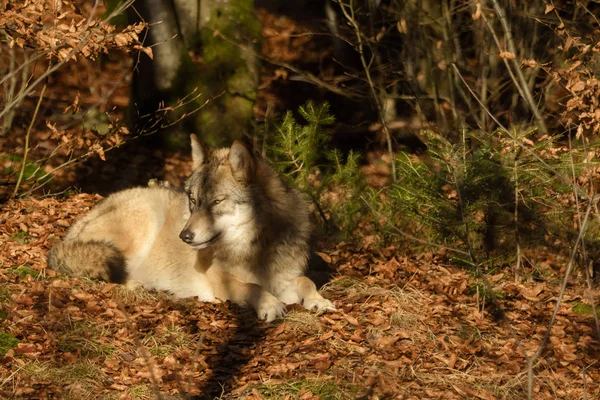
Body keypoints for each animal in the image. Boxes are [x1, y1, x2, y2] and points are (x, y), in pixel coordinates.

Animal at [46, 136, 336, 320]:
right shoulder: (224, 282)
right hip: (145, 219)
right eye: (194, 201)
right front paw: (271, 305)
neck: (254, 247)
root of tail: (72, 231)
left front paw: (318, 301)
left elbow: (306, 281)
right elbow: (253, 287)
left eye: (216, 202)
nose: (184, 236)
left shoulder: (285, 278)